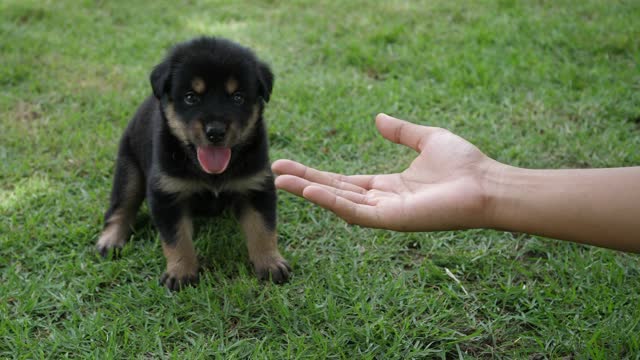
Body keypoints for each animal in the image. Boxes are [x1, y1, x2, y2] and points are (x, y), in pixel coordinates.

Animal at [95, 37, 290, 290]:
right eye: (190, 97)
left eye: (238, 97)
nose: (215, 132)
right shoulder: (167, 193)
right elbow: (177, 238)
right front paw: (181, 272)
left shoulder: (256, 186)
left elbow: (263, 229)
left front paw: (270, 263)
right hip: (128, 169)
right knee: (121, 206)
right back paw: (110, 240)